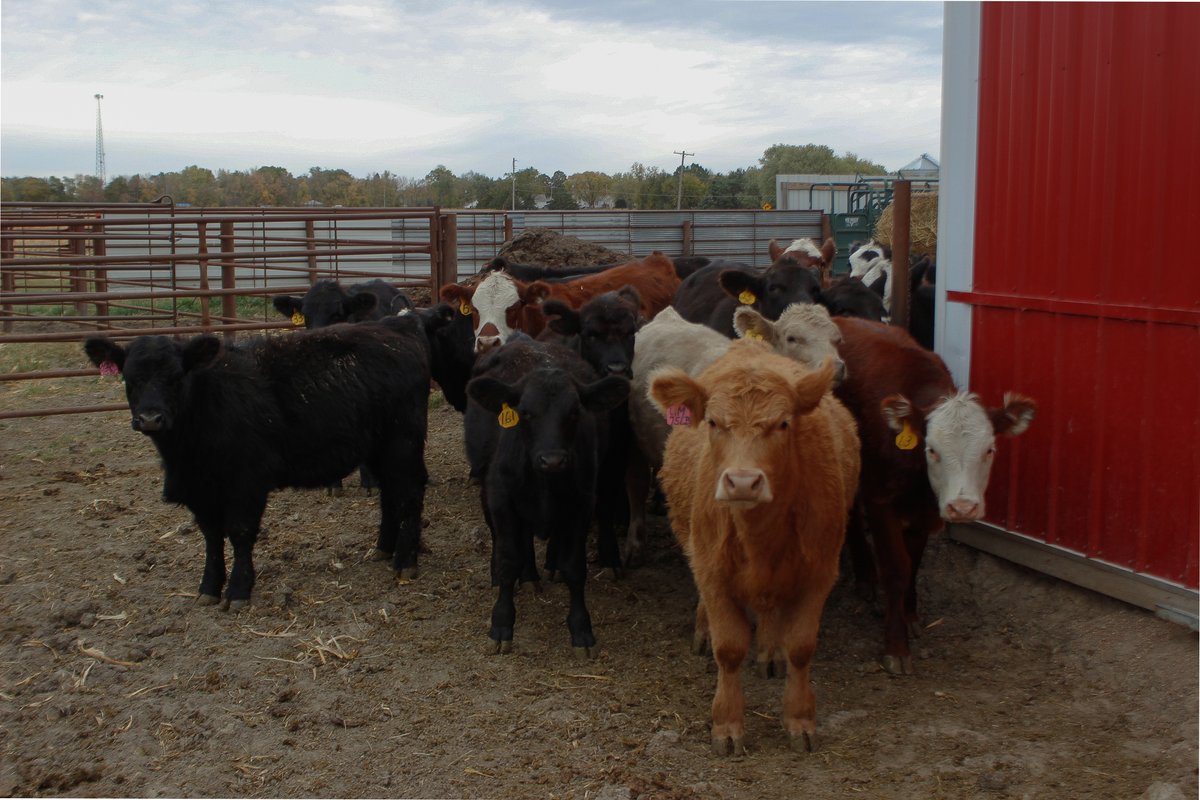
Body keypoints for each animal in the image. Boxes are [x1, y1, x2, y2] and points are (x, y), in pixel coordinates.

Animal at [83, 318, 431, 610]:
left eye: (176, 377)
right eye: (130, 377)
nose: (150, 418)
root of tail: (397, 331)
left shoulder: (247, 482)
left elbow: (240, 533)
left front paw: (238, 590)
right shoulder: (201, 490)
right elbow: (211, 536)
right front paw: (209, 587)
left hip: (402, 443)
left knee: (410, 492)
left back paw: (405, 561)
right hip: (379, 448)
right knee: (390, 494)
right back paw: (384, 548)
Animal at [464, 338, 630, 656]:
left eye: (575, 411)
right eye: (525, 412)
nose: (552, 460)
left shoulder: (581, 505)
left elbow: (575, 568)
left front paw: (581, 629)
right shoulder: (502, 499)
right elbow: (508, 560)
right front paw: (501, 624)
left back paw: (533, 574)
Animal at [650, 340, 860, 755]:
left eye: (783, 424)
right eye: (713, 422)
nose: (743, 482)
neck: (759, 535)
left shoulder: (819, 572)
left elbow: (801, 646)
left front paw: (799, 718)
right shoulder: (713, 571)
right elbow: (729, 649)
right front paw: (727, 723)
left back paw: (770, 650)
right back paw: (705, 631)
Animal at [832, 316, 1036, 674]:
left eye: (989, 449)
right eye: (932, 449)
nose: (963, 507)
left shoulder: (925, 511)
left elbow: (913, 563)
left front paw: (910, 615)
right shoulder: (881, 502)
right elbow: (896, 568)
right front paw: (896, 646)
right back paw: (866, 577)